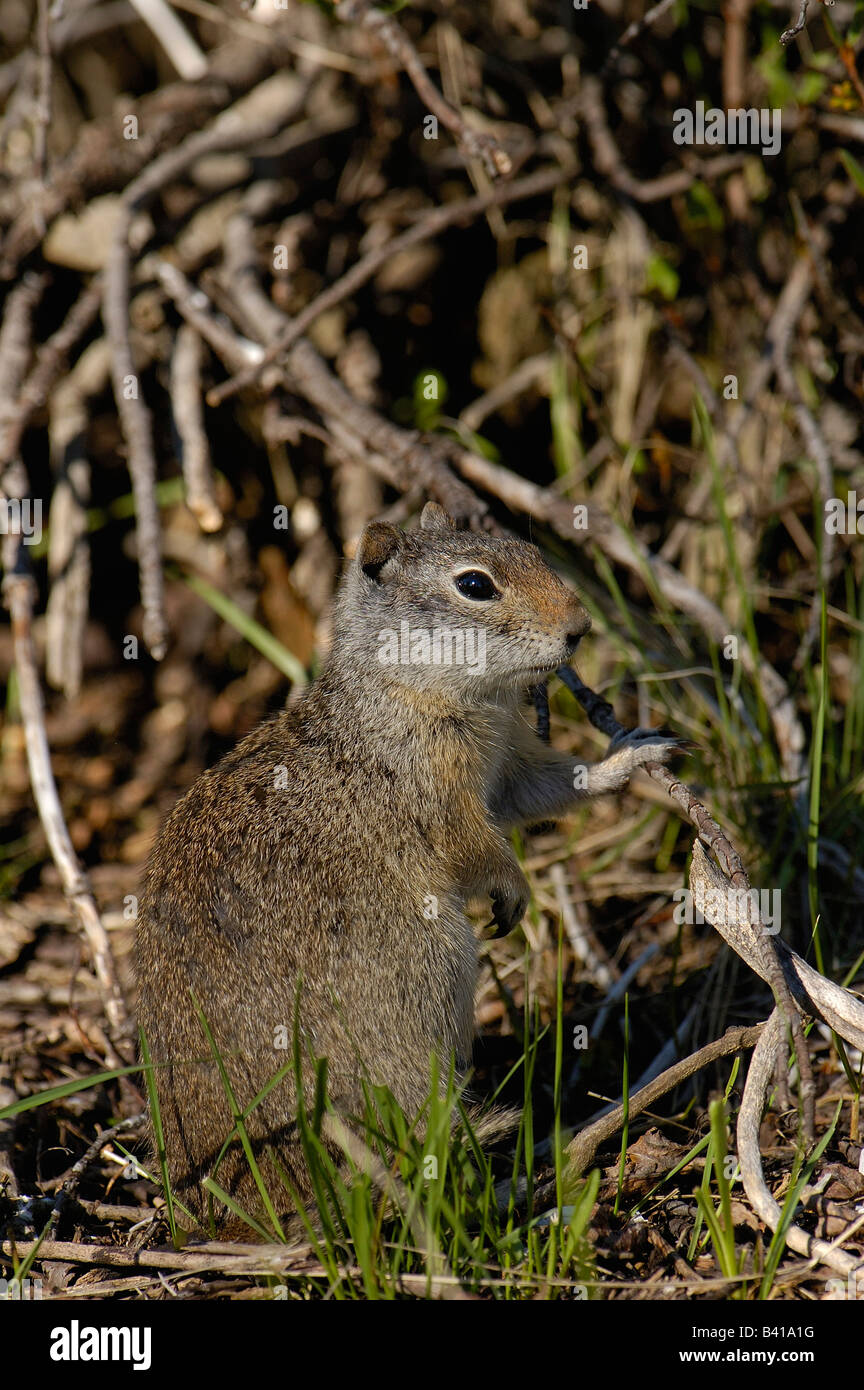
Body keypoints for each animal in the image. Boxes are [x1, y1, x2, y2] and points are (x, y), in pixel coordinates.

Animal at [135, 502, 681, 1237]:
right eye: (475, 585)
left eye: (530, 551)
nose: (579, 627)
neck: (410, 687)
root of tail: (238, 1217)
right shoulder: (444, 802)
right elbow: (479, 848)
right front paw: (515, 891)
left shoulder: (508, 768)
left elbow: (557, 785)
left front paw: (631, 755)